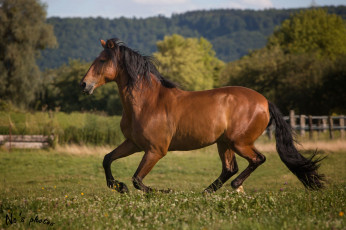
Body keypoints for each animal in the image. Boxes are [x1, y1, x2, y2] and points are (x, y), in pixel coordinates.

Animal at [79, 38, 324, 193]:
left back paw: (232, 186)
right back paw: (207, 192)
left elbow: (138, 180)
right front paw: (119, 187)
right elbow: (107, 159)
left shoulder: (155, 150)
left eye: (102, 60)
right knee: (230, 168)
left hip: (239, 142)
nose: (84, 84)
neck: (148, 101)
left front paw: (164, 191)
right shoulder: (134, 144)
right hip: (224, 143)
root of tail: (264, 101)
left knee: (257, 160)